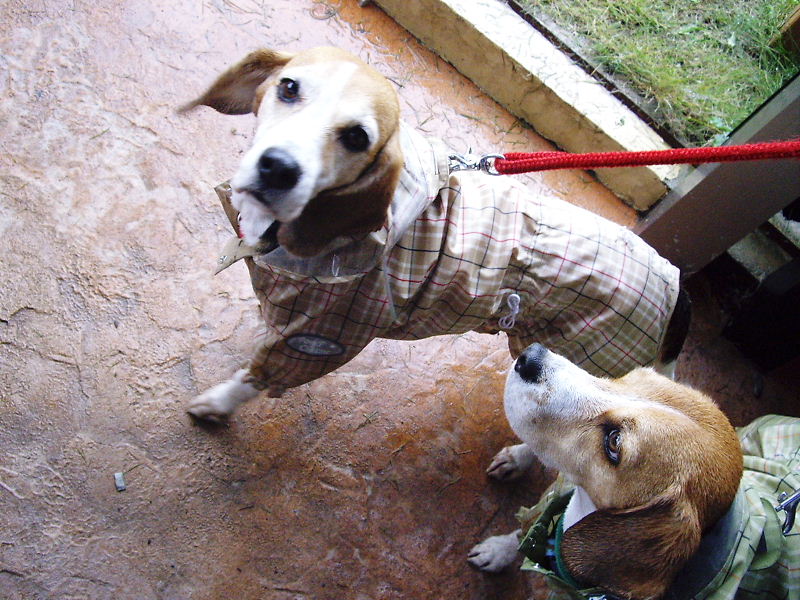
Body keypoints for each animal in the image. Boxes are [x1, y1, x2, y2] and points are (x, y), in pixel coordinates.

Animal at [180, 46, 689, 420]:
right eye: (288, 87)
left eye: (357, 138)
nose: (279, 168)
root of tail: (676, 288)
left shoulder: (317, 339)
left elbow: (254, 378)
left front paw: (218, 403)